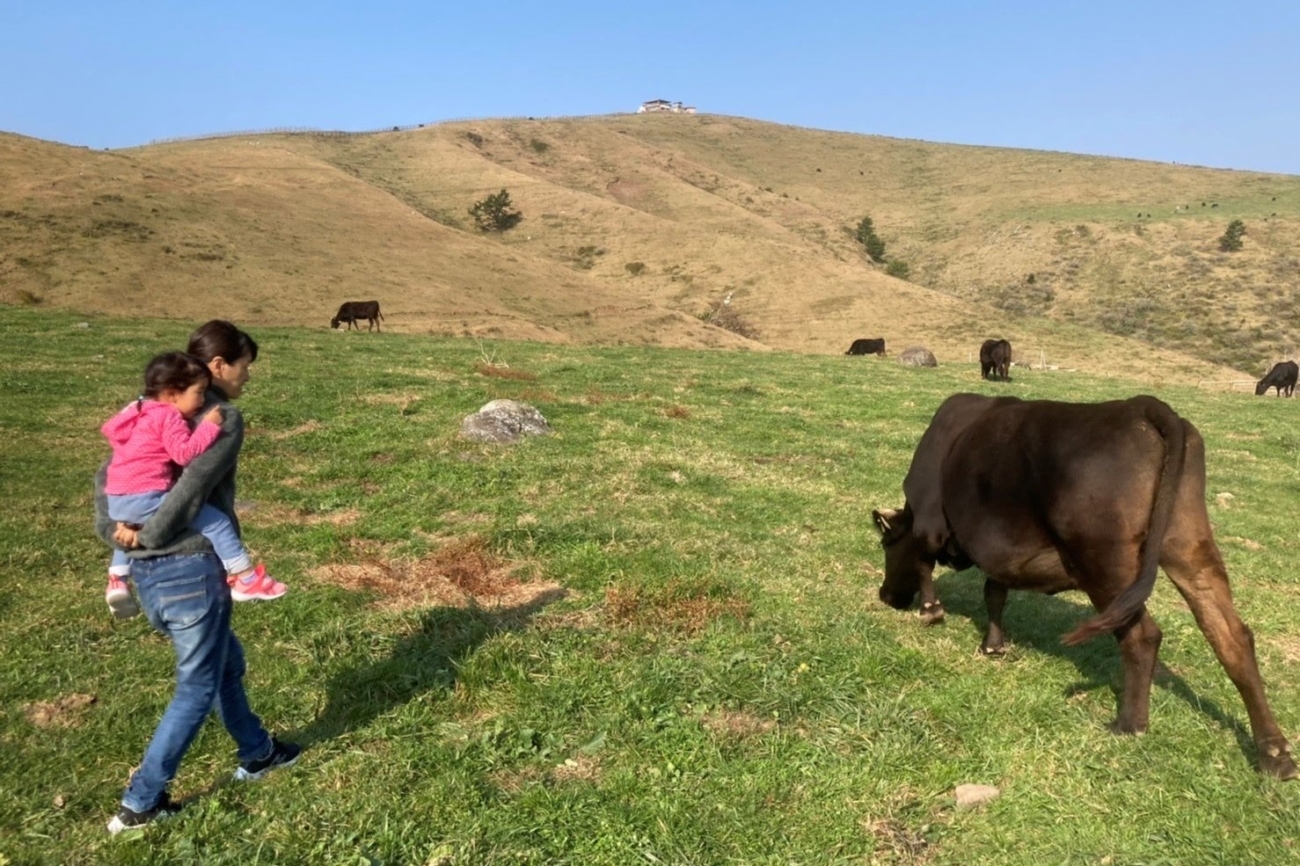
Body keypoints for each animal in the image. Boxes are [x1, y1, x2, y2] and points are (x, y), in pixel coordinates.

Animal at [873, 390, 1300, 774]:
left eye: (885, 544)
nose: (885, 595)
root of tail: (1140, 407)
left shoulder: (929, 521)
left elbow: (926, 564)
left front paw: (931, 611)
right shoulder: (1001, 554)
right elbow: (994, 591)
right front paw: (994, 644)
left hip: (1104, 561)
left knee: (1142, 634)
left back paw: (1130, 724)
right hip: (1189, 543)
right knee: (1230, 635)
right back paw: (1275, 755)